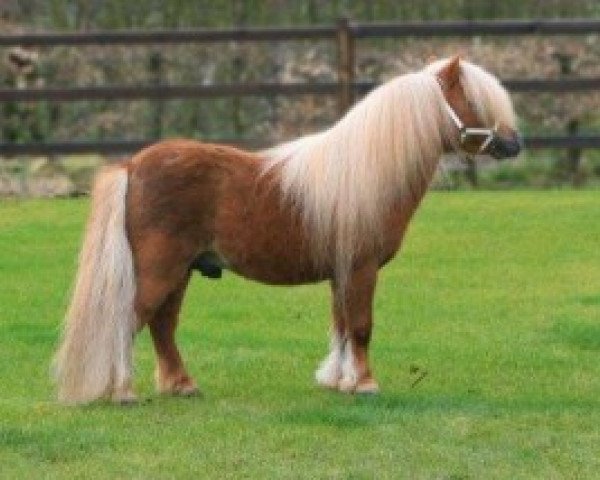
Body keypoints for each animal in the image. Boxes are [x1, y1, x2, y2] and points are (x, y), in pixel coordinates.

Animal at [52, 56, 520, 404]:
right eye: (475, 101)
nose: (515, 145)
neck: (364, 172)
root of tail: (133, 165)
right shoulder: (362, 268)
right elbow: (361, 325)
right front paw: (366, 384)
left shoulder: (342, 272)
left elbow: (341, 325)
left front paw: (339, 381)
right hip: (160, 270)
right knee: (129, 320)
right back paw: (122, 392)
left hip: (180, 271)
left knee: (162, 325)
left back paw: (182, 386)